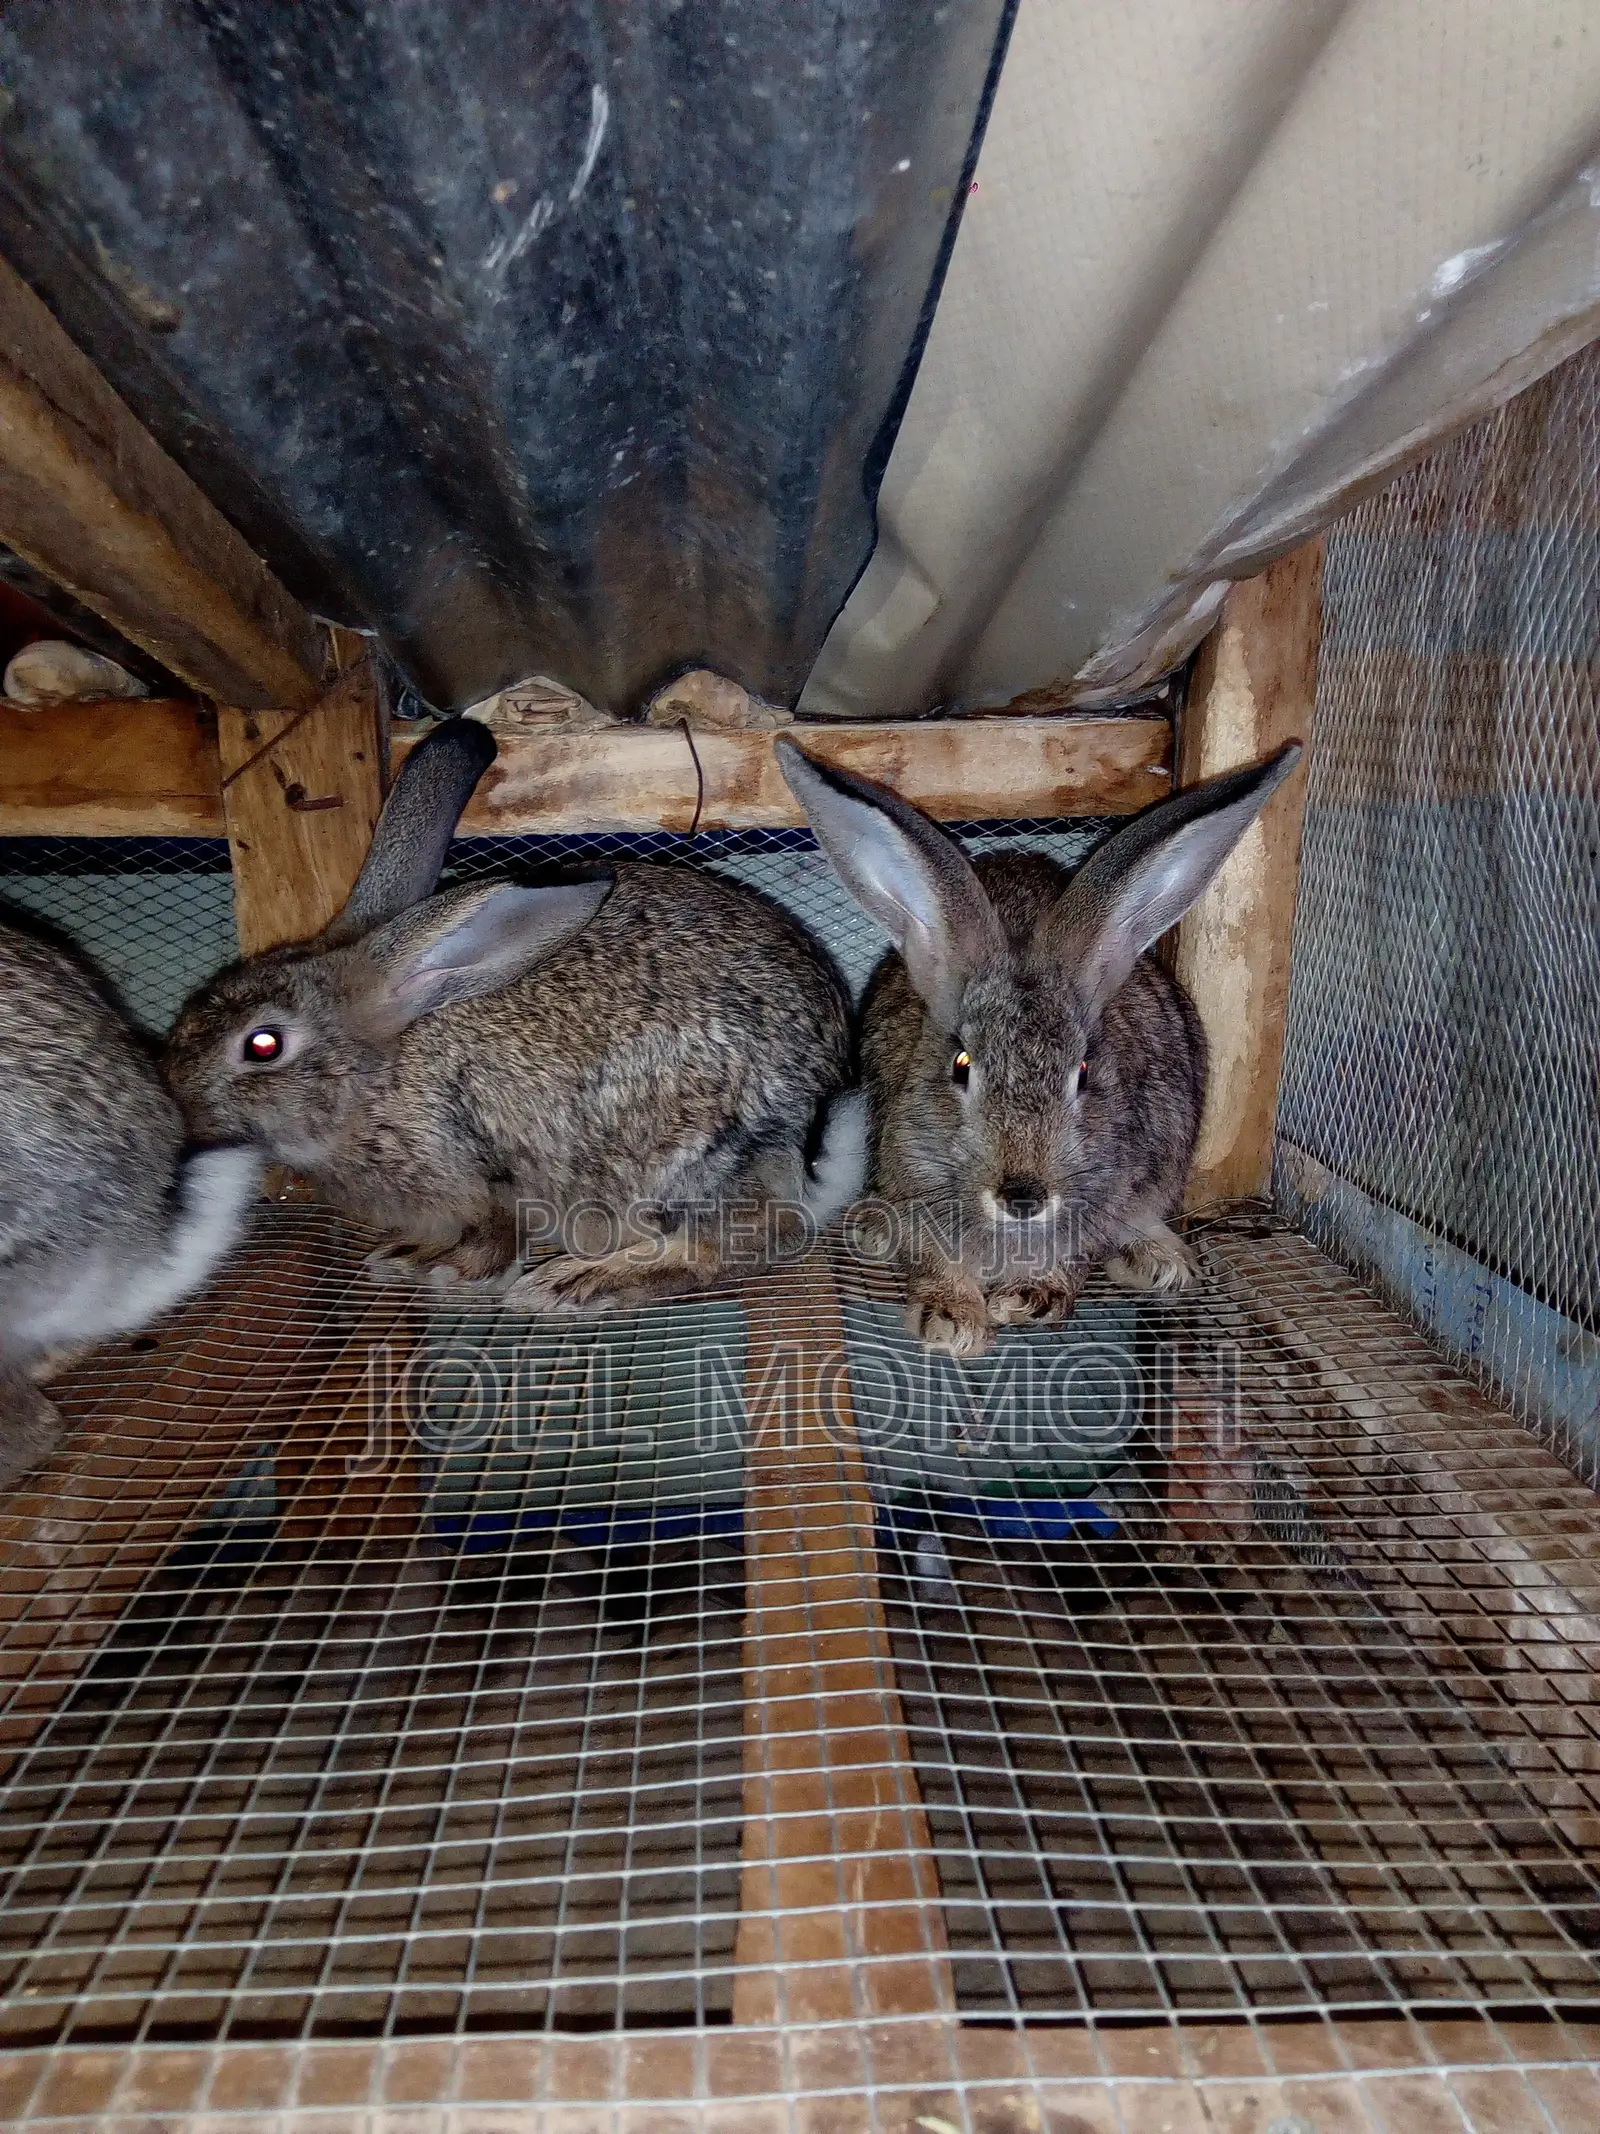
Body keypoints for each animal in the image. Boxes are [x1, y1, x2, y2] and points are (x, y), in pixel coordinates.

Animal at [165, 723, 861, 1314]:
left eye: (262, 1044)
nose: (178, 1108)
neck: (378, 1073)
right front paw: (405, 1256)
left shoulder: (486, 1171)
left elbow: (494, 1236)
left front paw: (448, 1274)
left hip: (694, 1157)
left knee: (759, 1235)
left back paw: (582, 1281)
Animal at [776, 736, 1302, 1355]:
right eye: (962, 1066)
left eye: (1083, 1072)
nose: (1023, 1197)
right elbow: (932, 1259)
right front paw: (951, 1320)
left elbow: (1073, 1259)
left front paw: (1029, 1298)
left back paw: (1161, 1262)